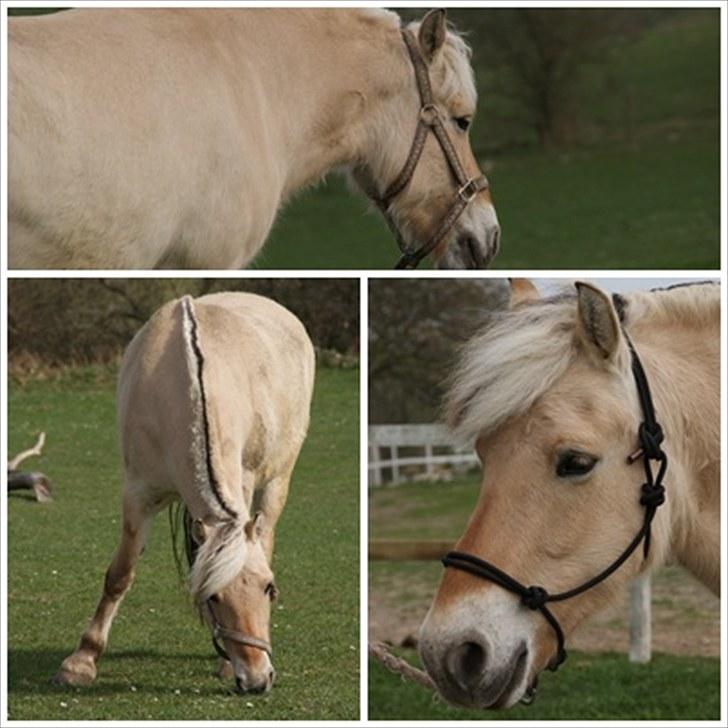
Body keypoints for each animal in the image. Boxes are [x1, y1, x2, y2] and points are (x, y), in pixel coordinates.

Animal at [54, 294, 316, 692]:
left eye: (269, 589)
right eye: (214, 597)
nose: (257, 679)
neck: (183, 389)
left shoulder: (242, 481)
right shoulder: (138, 494)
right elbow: (120, 575)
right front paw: (82, 661)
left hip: (276, 480)